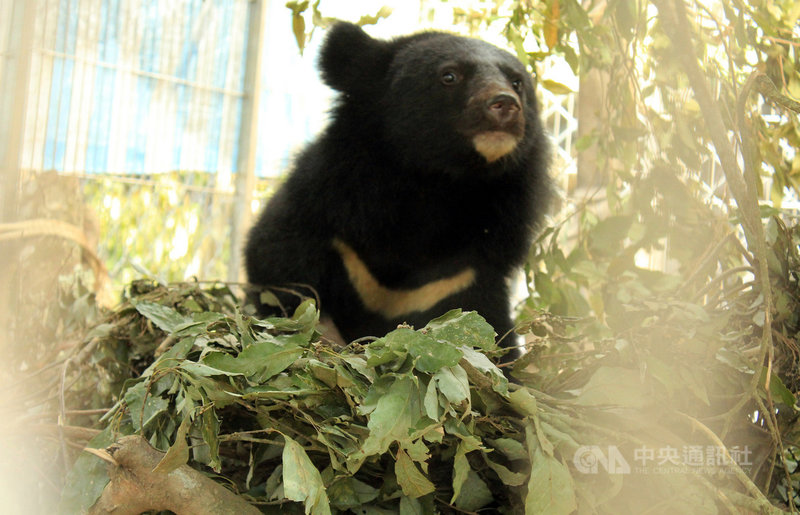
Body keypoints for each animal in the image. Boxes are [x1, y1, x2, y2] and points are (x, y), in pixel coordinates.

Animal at [244, 22, 550, 362]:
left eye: (517, 82)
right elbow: (277, 259)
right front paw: (323, 334)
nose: (505, 104)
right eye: (449, 75)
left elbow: (488, 329)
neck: (437, 183)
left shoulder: (467, 272)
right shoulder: (328, 202)